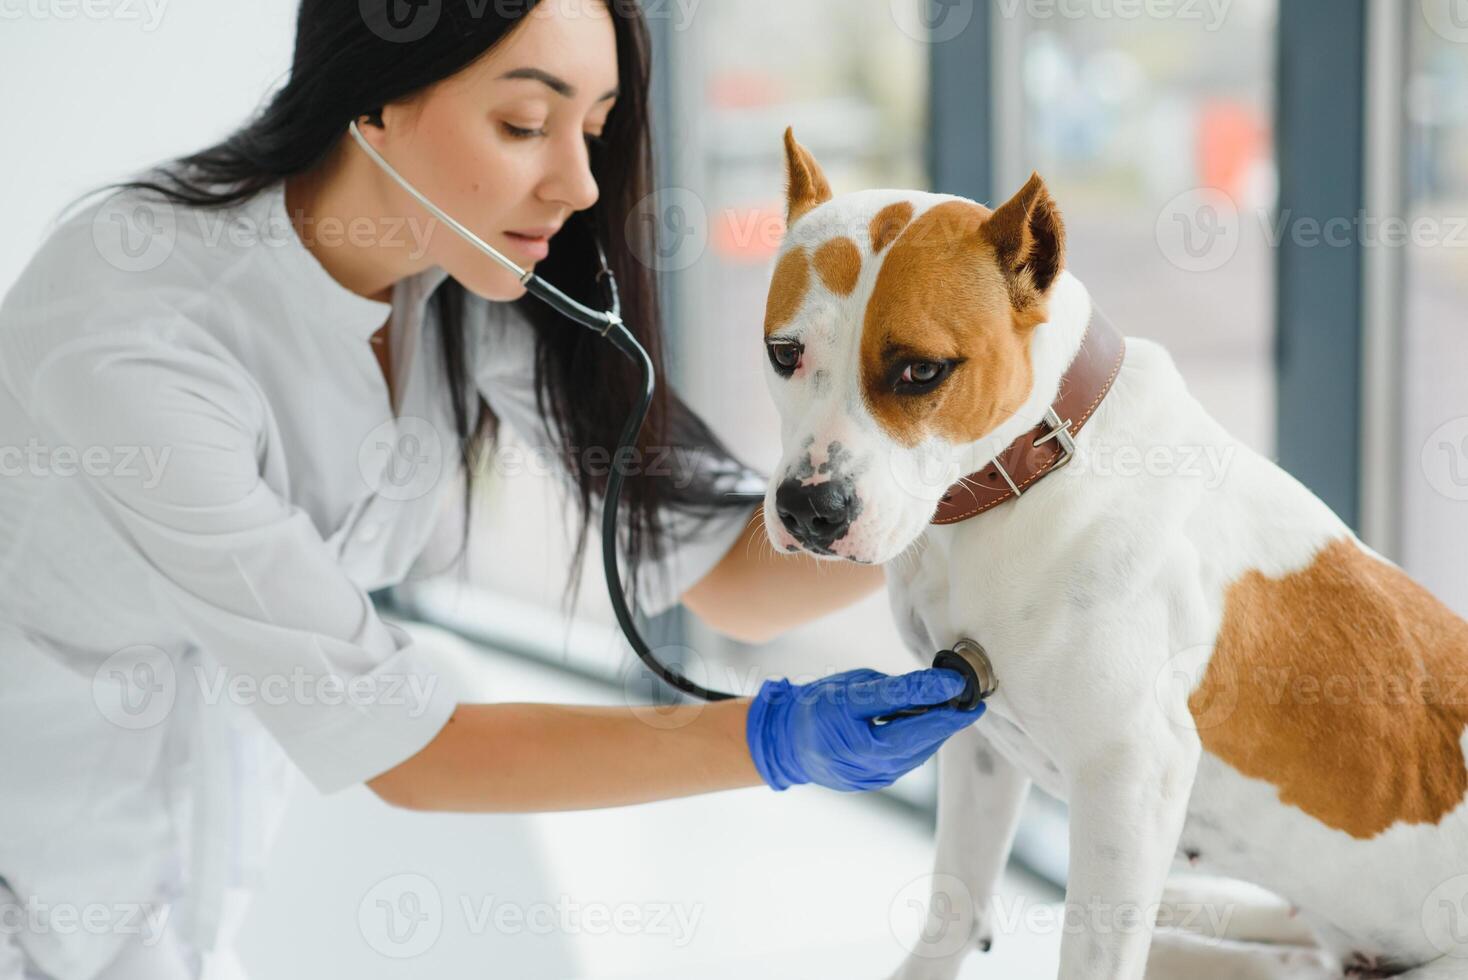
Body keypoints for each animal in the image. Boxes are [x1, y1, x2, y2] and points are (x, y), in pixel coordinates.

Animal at [763, 126, 1468, 974]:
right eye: (783, 353)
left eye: (922, 370)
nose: (810, 507)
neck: (1028, 469)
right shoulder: (976, 733)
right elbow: (955, 899)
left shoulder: (1134, 777)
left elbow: (1092, 952)